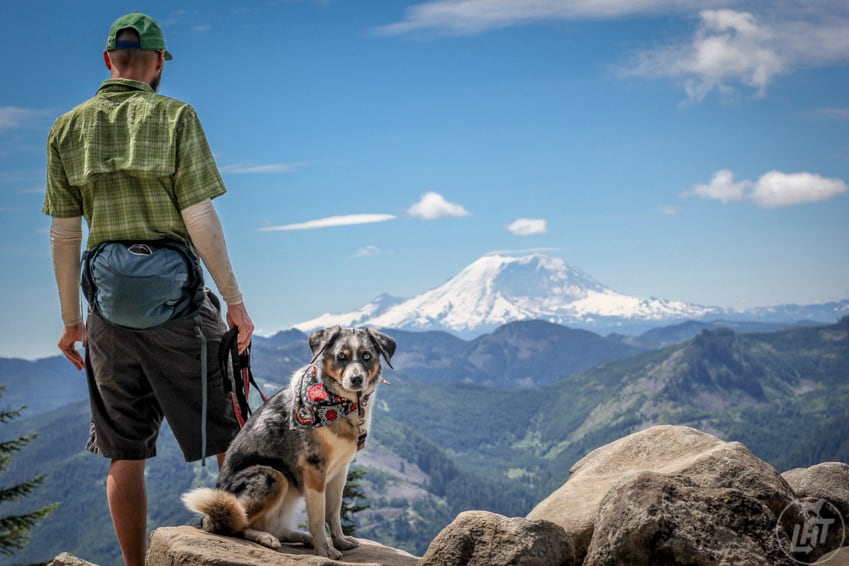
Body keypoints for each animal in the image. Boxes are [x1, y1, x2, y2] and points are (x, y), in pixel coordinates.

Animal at [182, 326, 394, 560]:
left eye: (366, 356)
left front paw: (339, 541)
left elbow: (333, 512)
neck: (338, 403)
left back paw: (301, 537)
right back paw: (266, 538)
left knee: (275, 528)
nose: (356, 379)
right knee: (237, 523)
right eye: (341, 357)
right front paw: (324, 549)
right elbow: (318, 517)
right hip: (272, 476)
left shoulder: (340, 471)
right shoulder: (314, 469)